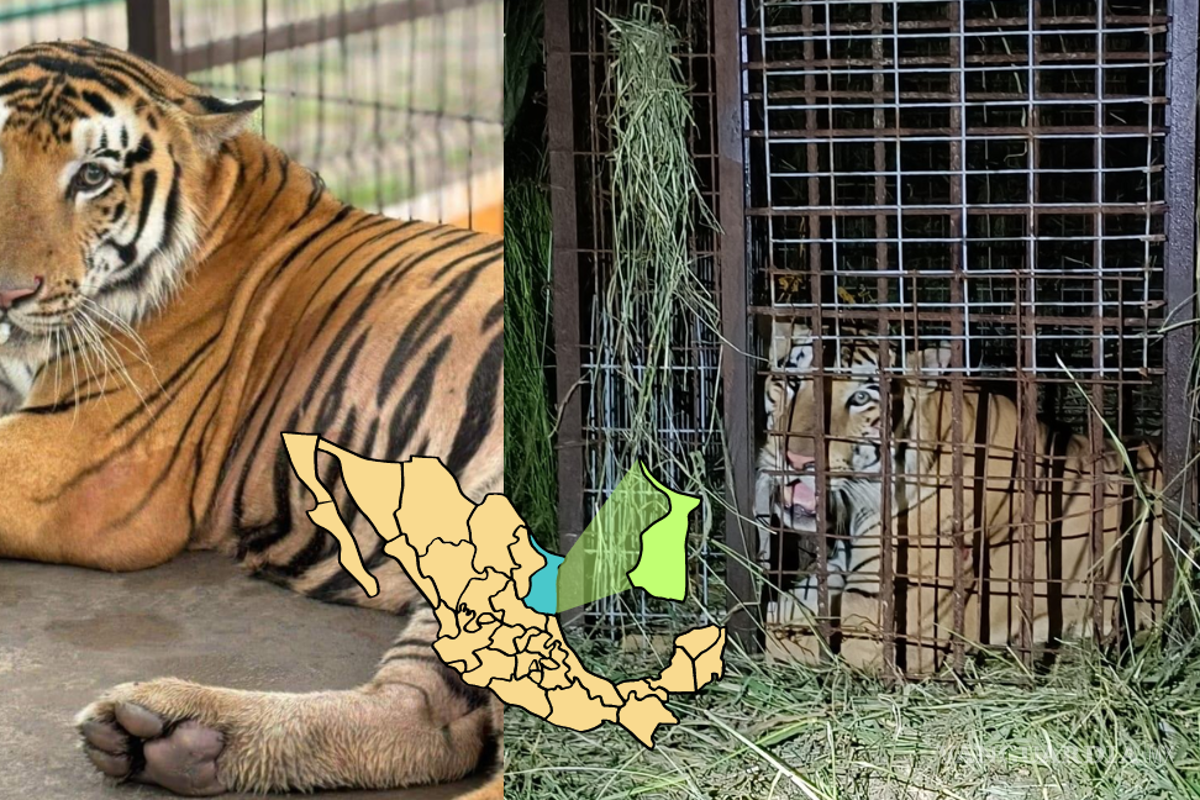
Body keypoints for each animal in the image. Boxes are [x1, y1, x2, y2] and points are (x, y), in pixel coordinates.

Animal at [0, 40, 502, 798]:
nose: (5, 295)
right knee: (439, 719)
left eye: (91, 176)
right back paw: (173, 740)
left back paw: (170, 722)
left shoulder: (82, 463)